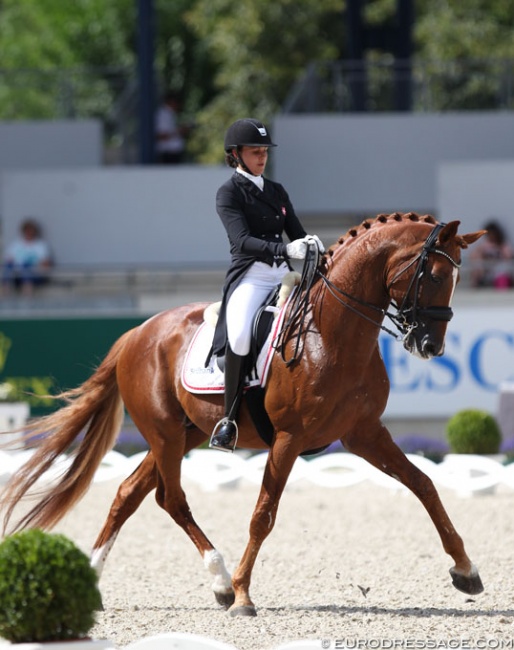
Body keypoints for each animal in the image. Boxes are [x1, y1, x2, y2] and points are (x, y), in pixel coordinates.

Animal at [1, 211, 484, 612]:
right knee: (170, 499)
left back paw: (95, 580)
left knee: (128, 493)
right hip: (165, 433)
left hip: (185, 432)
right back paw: (219, 582)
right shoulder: (290, 438)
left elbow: (424, 485)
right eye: (434, 275)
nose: (430, 346)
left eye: (458, 277)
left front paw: (466, 571)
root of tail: (138, 331)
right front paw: (243, 595)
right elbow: (262, 515)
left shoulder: (364, 433)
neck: (332, 334)